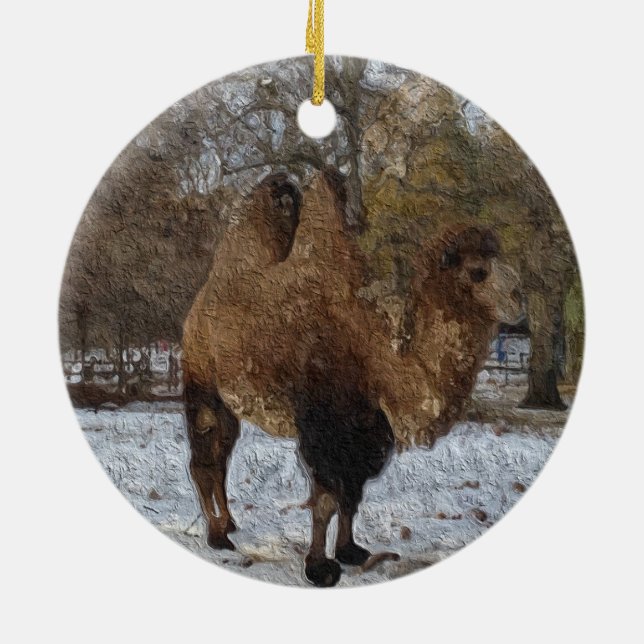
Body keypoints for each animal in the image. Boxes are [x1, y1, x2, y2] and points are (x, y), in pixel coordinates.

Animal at [182, 170, 523, 586]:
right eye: (478, 272)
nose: (519, 297)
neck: (375, 349)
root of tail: (200, 303)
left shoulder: (368, 428)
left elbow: (352, 495)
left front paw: (350, 551)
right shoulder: (324, 424)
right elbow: (326, 498)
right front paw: (318, 567)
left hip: (231, 399)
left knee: (222, 456)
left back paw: (230, 525)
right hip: (202, 382)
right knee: (204, 459)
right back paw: (216, 536)